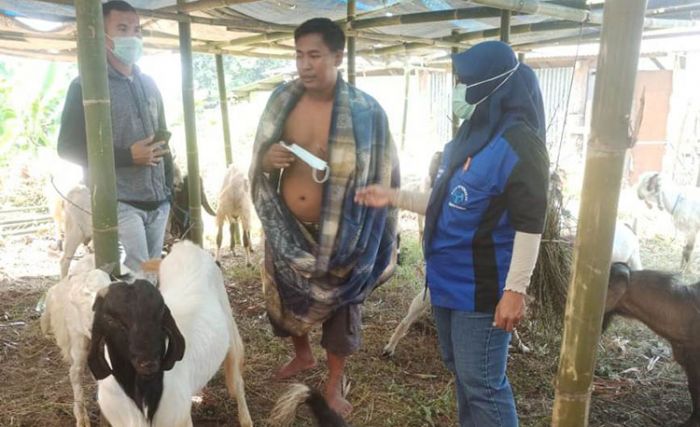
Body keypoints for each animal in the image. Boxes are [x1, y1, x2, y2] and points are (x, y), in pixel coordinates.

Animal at [87, 241, 252, 427]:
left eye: (160, 313)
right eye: (110, 320)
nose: (149, 362)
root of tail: (185, 245)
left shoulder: (179, 417)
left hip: (230, 326)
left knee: (237, 380)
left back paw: (246, 419)